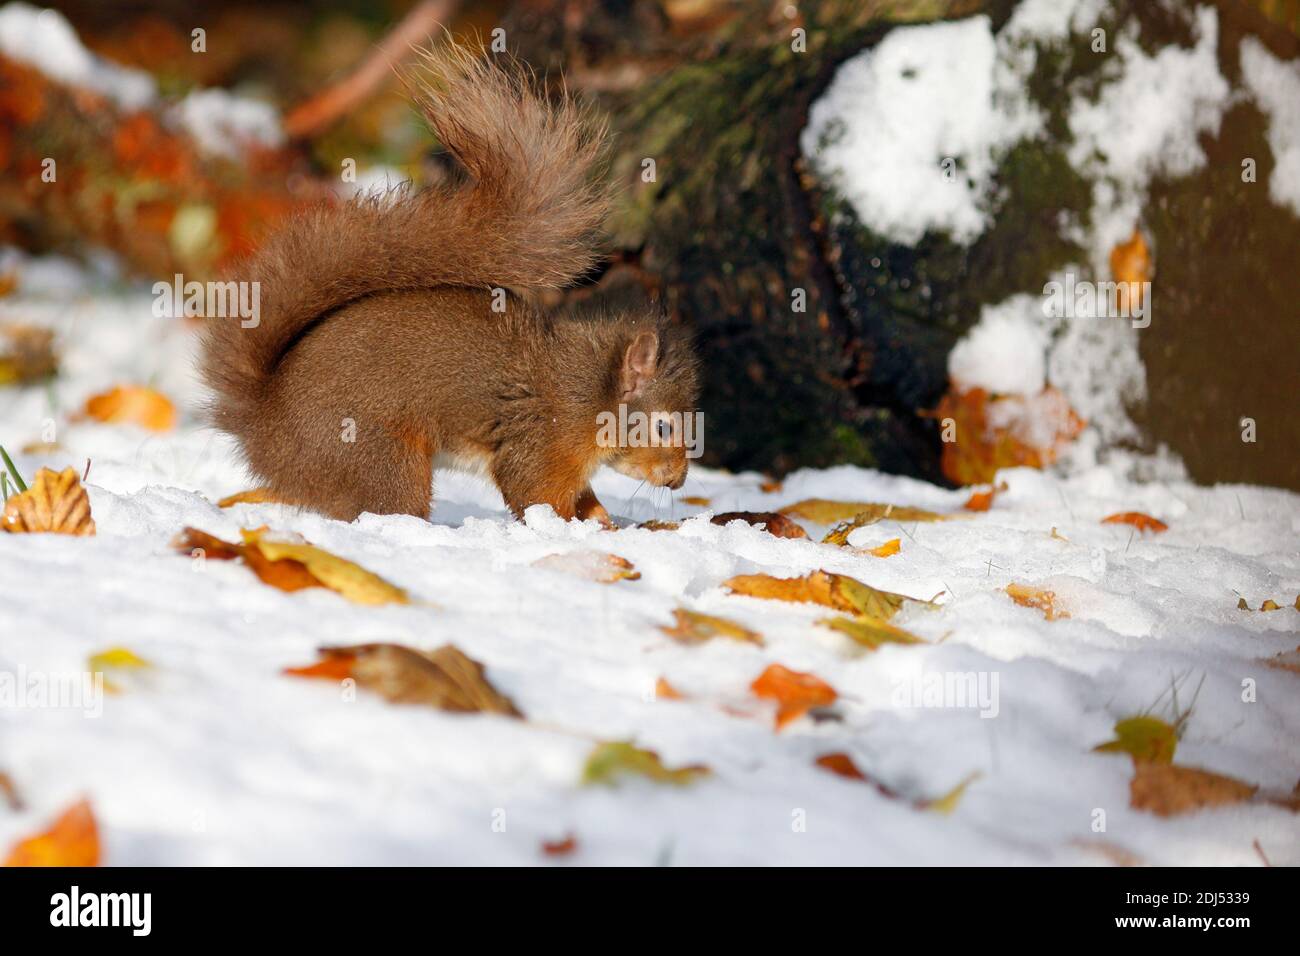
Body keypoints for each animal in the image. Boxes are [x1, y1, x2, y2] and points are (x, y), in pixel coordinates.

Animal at [200, 44, 702, 522]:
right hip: (378, 458)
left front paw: (604, 524)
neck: (590, 388)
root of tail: (265, 429)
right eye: (663, 427)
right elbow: (536, 494)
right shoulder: (543, 438)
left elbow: (582, 498)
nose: (678, 480)